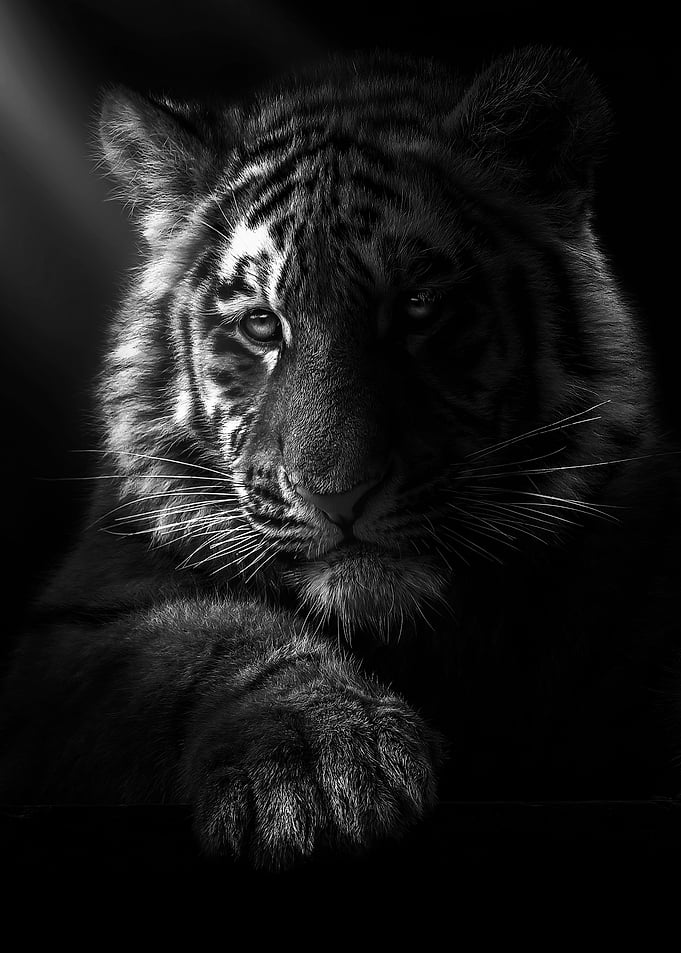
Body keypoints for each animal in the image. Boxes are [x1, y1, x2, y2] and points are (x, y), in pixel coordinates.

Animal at [1, 46, 679, 870]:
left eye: (419, 305)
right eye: (263, 324)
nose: (337, 495)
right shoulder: (73, 626)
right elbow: (205, 636)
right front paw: (317, 767)